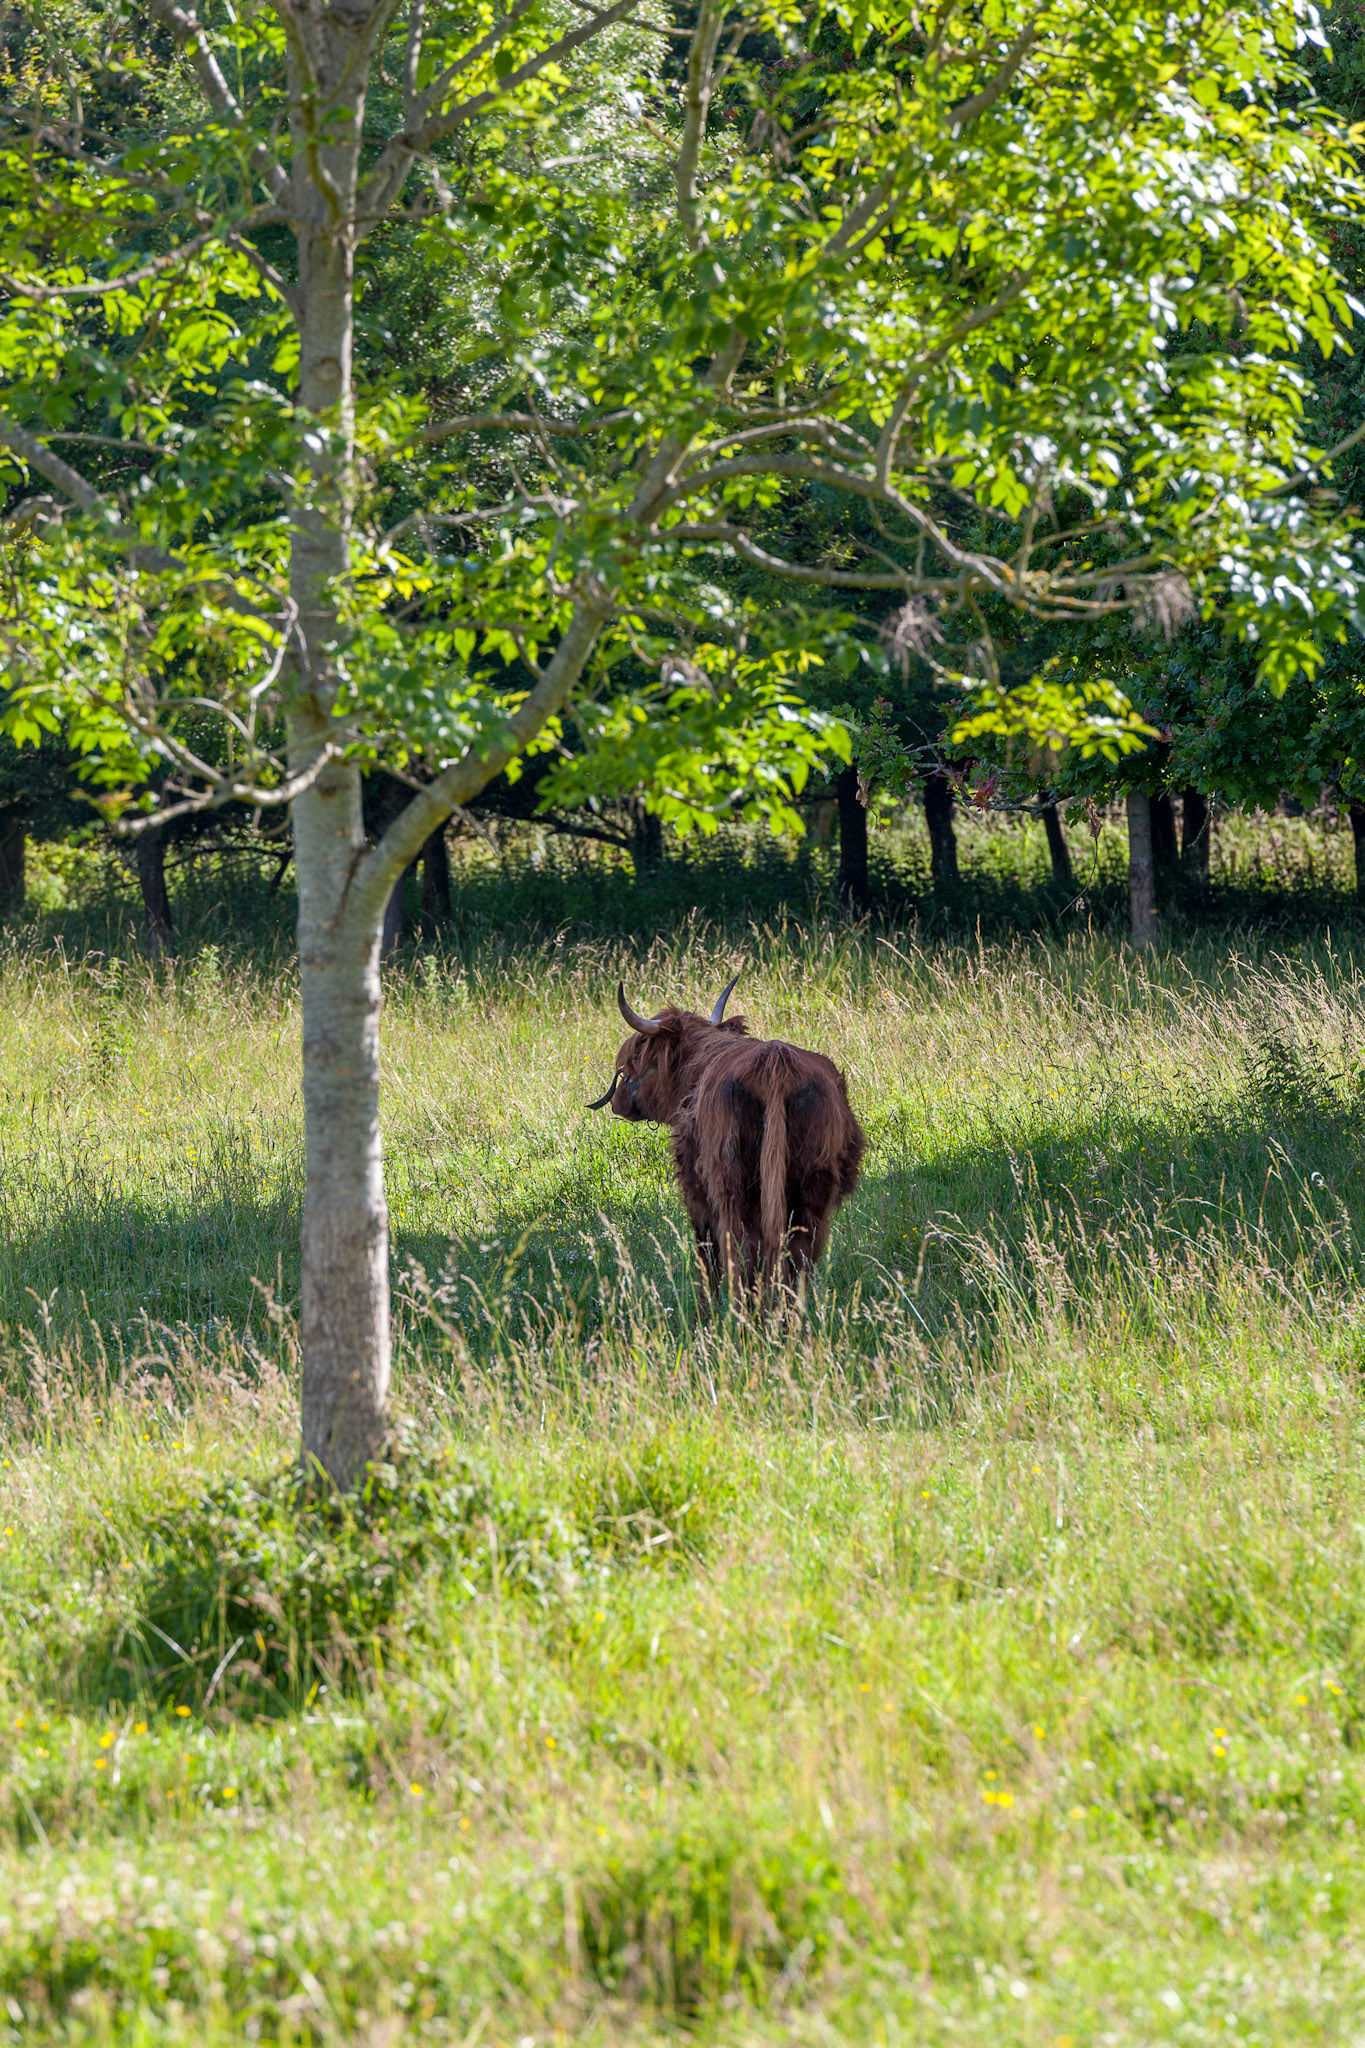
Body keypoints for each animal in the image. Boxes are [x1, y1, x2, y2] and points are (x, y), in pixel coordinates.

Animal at [588, 976, 865, 1296]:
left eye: (635, 1058)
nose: (617, 1100)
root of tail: (776, 1066)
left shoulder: (696, 1195)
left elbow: (706, 1255)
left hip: (731, 1186)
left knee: (741, 1253)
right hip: (813, 1189)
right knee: (799, 1256)